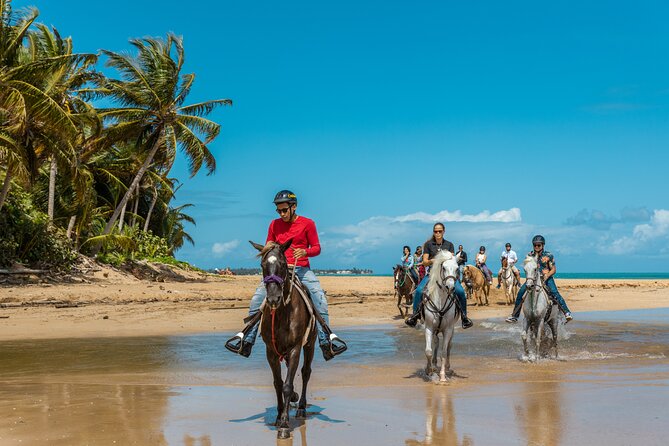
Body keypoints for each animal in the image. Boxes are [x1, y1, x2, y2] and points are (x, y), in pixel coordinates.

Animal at [249, 240, 318, 440]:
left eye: (281, 264)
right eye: (262, 265)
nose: (273, 298)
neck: (282, 313)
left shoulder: (295, 348)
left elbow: (287, 385)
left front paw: (285, 424)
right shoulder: (271, 351)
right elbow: (278, 383)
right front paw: (279, 416)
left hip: (309, 345)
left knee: (305, 372)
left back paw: (301, 407)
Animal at [422, 253, 460, 382]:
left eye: (457, 269)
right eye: (443, 268)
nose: (450, 287)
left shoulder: (448, 329)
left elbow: (443, 352)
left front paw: (442, 377)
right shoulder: (428, 327)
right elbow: (428, 351)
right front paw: (429, 371)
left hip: (452, 328)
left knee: (449, 346)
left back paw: (447, 367)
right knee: (436, 342)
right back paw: (433, 364)